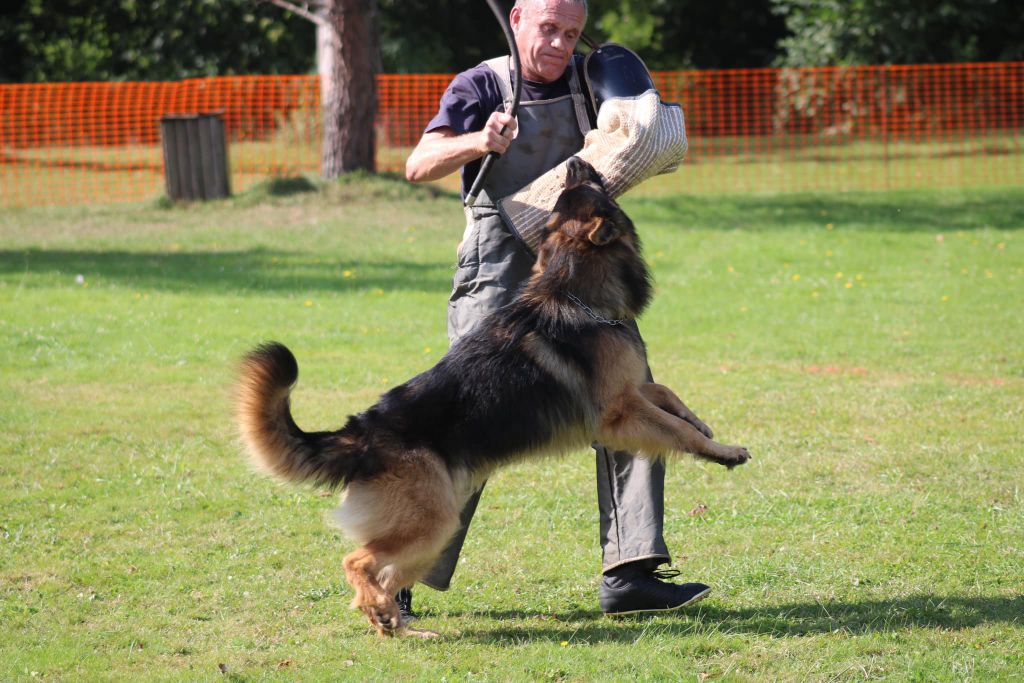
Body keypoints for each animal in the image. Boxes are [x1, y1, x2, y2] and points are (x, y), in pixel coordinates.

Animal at [237, 157, 753, 638]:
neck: (572, 287)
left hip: (431, 530)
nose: (574, 161)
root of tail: (361, 433)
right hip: (430, 523)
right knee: (357, 562)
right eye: (583, 189)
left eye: (567, 195)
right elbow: (676, 429)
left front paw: (706, 427)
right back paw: (385, 613)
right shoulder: (618, 413)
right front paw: (721, 451)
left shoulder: (632, 389)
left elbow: (669, 394)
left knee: (382, 574)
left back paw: (397, 624)